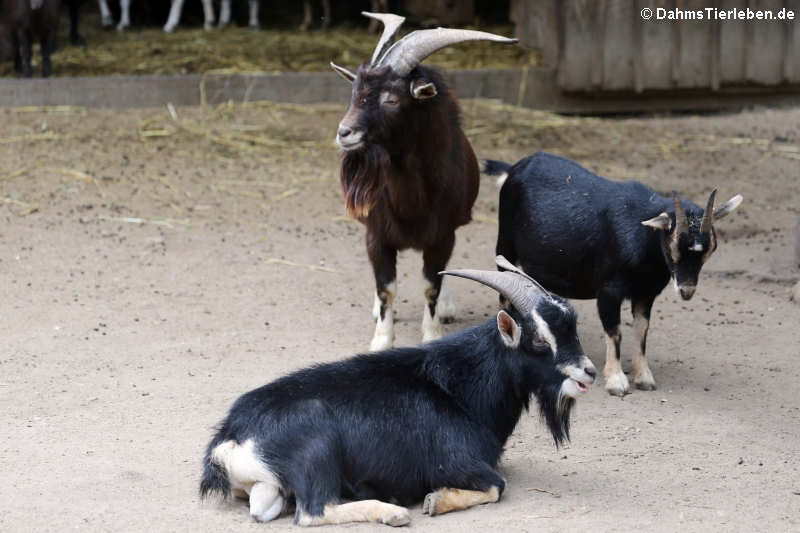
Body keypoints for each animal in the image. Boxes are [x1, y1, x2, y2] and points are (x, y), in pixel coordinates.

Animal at [203, 256, 596, 524]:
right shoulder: (458, 460)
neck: (461, 389)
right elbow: (496, 486)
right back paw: (392, 511)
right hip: (316, 448)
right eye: (539, 340)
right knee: (314, 511)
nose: (589, 372)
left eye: (572, 328)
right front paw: (436, 500)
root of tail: (229, 438)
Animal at [332, 11, 520, 350]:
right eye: (354, 93)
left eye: (392, 99)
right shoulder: (377, 236)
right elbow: (386, 288)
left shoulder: (441, 235)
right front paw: (381, 339)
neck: (410, 201)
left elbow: (432, 284)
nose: (344, 132)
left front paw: (432, 332)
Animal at [488, 150, 744, 394]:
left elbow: (641, 331)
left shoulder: (645, 293)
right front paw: (616, 381)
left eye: (710, 249)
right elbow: (615, 332)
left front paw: (644, 377)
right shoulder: (608, 291)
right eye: (672, 248)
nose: (687, 291)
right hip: (505, 245)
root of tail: (515, 168)